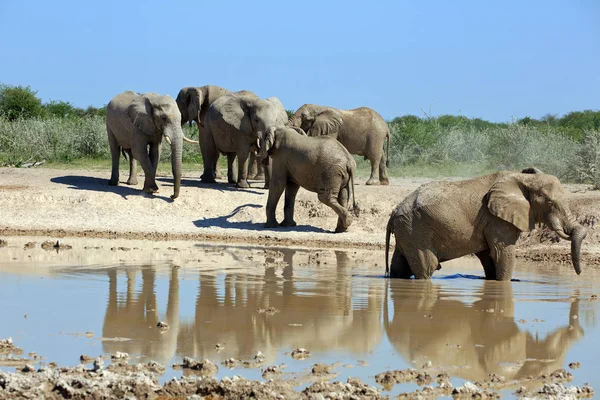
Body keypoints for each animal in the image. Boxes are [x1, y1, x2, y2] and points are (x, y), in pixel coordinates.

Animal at [384, 169, 584, 282]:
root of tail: (394, 212)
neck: (524, 178)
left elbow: (489, 256)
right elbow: (502, 254)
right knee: (427, 267)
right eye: (550, 203)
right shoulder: (497, 220)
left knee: (400, 267)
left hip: (407, 231)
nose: (579, 274)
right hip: (415, 230)